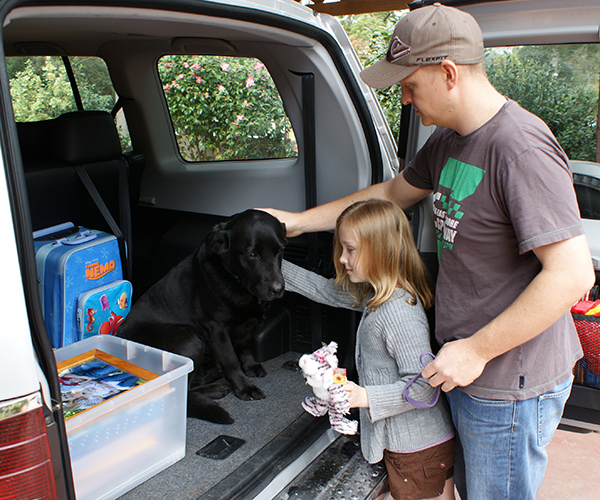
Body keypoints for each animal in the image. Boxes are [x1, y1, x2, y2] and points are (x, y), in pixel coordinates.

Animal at [118, 209, 288, 424]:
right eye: (252, 254)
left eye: (279, 251)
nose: (277, 289)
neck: (235, 280)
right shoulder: (216, 328)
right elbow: (230, 360)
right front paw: (244, 388)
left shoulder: (247, 323)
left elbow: (246, 346)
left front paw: (250, 365)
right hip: (189, 340)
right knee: (183, 390)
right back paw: (213, 390)